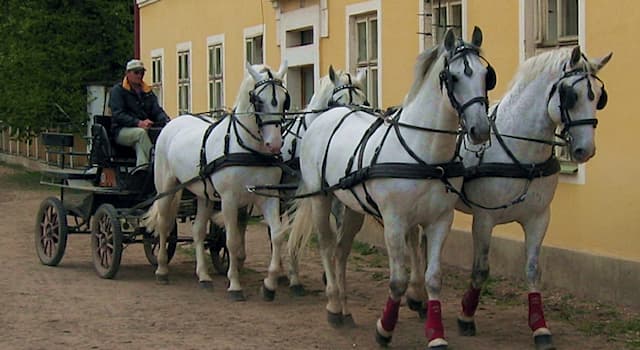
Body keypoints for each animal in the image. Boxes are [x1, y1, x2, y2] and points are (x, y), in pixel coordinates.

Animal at [144, 60, 288, 300]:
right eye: (258, 100)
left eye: (285, 101)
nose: (274, 144)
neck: (247, 148)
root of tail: (174, 122)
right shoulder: (229, 199)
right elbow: (231, 240)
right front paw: (235, 285)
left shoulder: (268, 196)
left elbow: (277, 235)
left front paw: (269, 285)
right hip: (166, 187)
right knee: (164, 225)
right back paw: (162, 270)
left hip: (204, 195)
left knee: (198, 230)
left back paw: (203, 276)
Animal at [288, 28, 492, 350]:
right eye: (453, 77)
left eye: (486, 75)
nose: (480, 129)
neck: (425, 153)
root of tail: (328, 116)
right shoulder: (395, 222)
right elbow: (397, 280)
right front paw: (384, 328)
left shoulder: (440, 221)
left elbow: (434, 276)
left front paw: (435, 332)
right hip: (322, 198)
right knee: (327, 245)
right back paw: (333, 305)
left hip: (353, 207)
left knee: (341, 251)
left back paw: (344, 309)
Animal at [456, 47, 608, 350]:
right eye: (571, 95)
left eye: (599, 96)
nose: (585, 150)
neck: (519, 150)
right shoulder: (484, 218)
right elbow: (481, 269)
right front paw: (466, 315)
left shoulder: (539, 218)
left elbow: (533, 270)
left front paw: (540, 326)